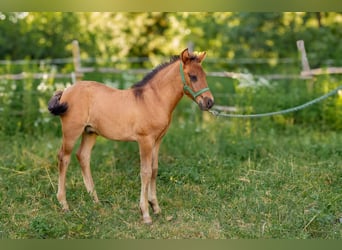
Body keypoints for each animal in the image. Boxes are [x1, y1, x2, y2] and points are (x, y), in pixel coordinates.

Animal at [48, 47, 214, 224]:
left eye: (204, 75)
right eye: (193, 76)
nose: (209, 102)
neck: (152, 100)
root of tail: (66, 91)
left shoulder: (157, 141)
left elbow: (154, 169)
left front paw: (156, 207)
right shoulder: (145, 140)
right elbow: (145, 172)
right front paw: (145, 213)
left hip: (90, 132)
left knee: (83, 156)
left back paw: (95, 200)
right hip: (72, 132)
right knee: (64, 158)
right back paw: (64, 204)